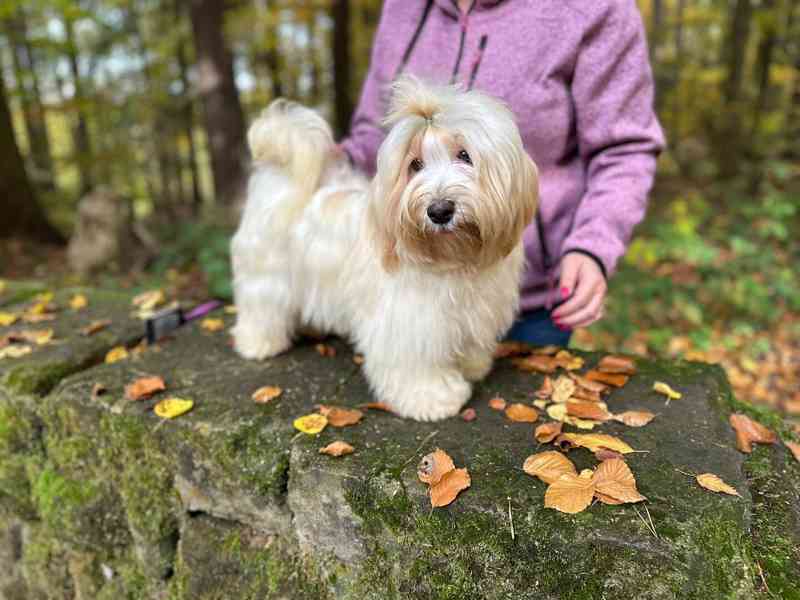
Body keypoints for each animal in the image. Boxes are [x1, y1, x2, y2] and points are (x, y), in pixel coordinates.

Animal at [234, 76, 540, 422]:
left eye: (465, 155)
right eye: (415, 165)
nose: (439, 210)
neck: (453, 257)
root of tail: (280, 175)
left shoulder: (474, 311)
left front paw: (472, 366)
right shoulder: (409, 322)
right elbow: (415, 365)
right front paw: (433, 398)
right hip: (266, 276)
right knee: (261, 308)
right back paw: (259, 342)